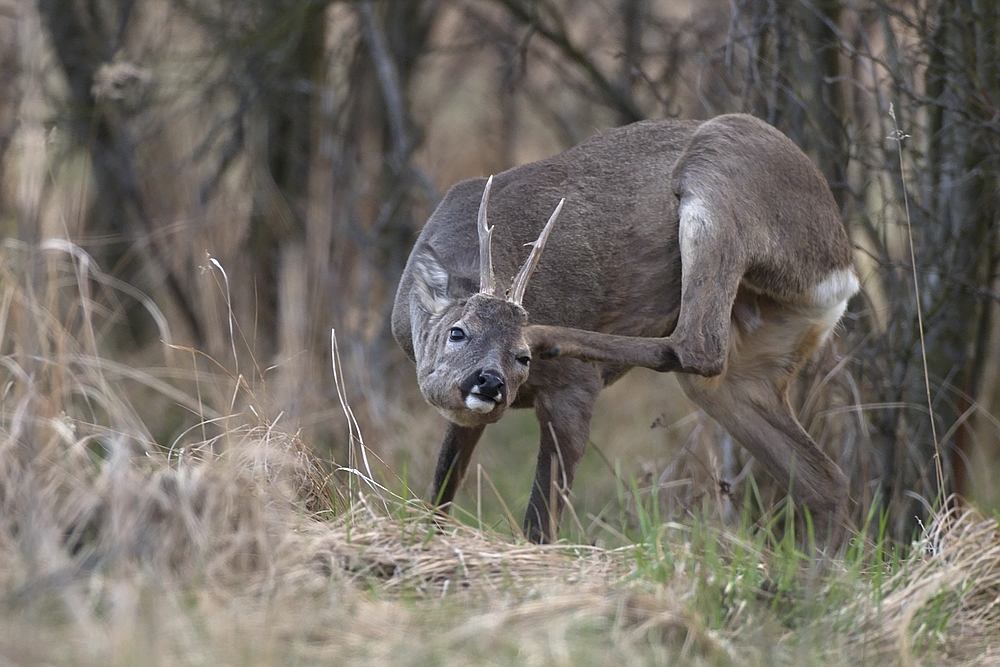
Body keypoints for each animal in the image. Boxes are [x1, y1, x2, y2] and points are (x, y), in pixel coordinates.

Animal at [390, 112, 860, 544]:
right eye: (458, 331)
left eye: (521, 358)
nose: (490, 381)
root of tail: (844, 268)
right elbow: (441, 489)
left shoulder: (574, 391)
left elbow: (540, 523)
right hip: (750, 363)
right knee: (826, 481)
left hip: (720, 166)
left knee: (697, 344)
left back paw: (550, 335)